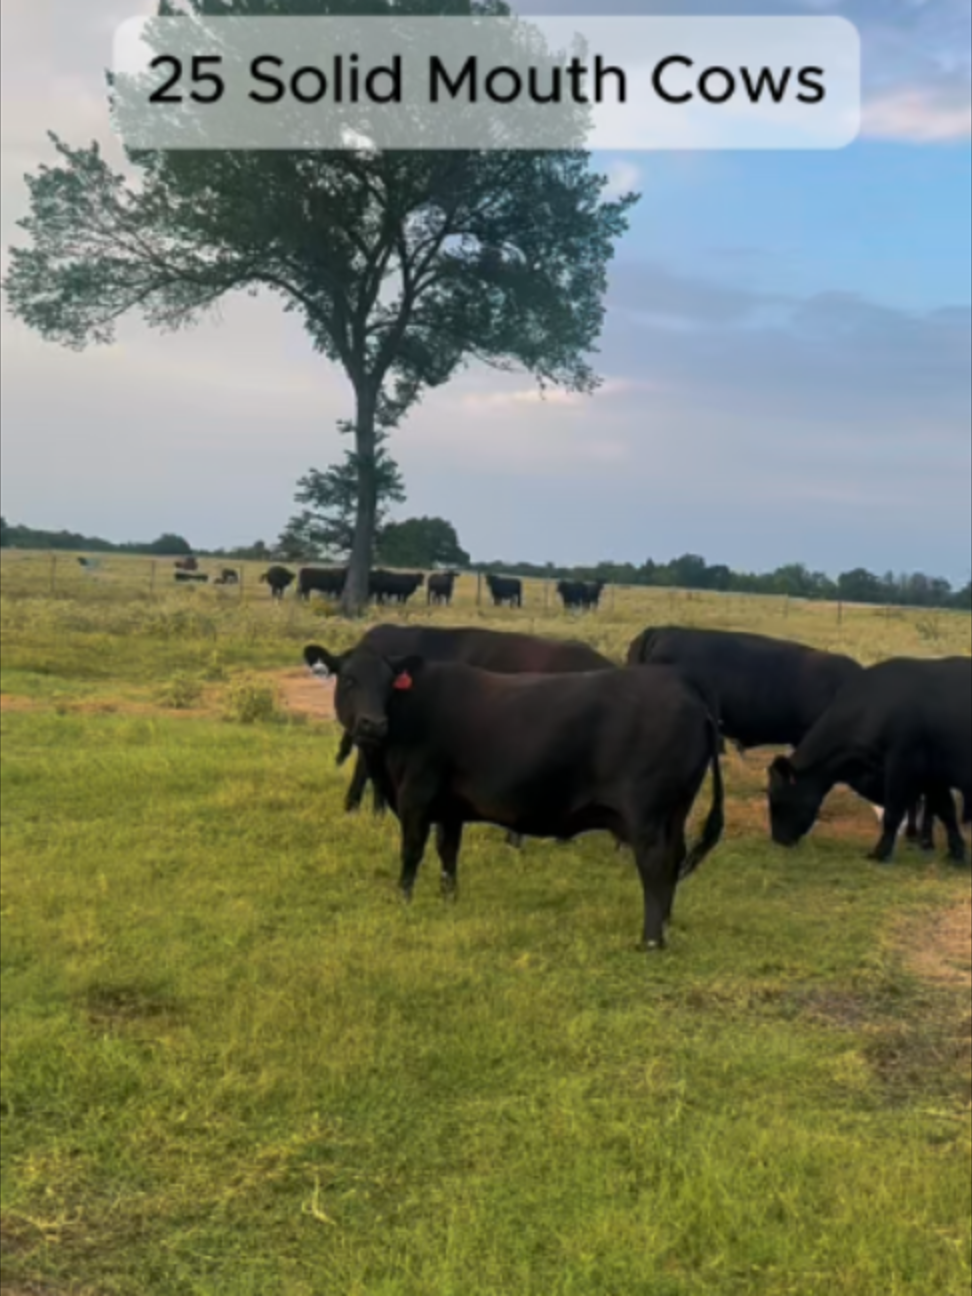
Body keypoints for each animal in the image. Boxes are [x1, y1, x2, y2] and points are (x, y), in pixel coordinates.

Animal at [323, 648, 725, 951]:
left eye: (389, 684)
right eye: (349, 679)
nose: (373, 723)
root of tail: (684, 686)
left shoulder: (416, 797)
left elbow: (411, 852)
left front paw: (403, 901)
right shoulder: (450, 807)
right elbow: (447, 852)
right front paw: (448, 899)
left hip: (647, 816)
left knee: (656, 864)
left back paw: (650, 940)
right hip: (676, 810)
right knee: (675, 859)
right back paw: (666, 925)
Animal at [767, 657, 972, 865]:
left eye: (776, 798)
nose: (778, 840)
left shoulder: (902, 767)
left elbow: (893, 813)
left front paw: (880, 853)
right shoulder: (934, 777)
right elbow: (946, 811)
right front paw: (956, 853)